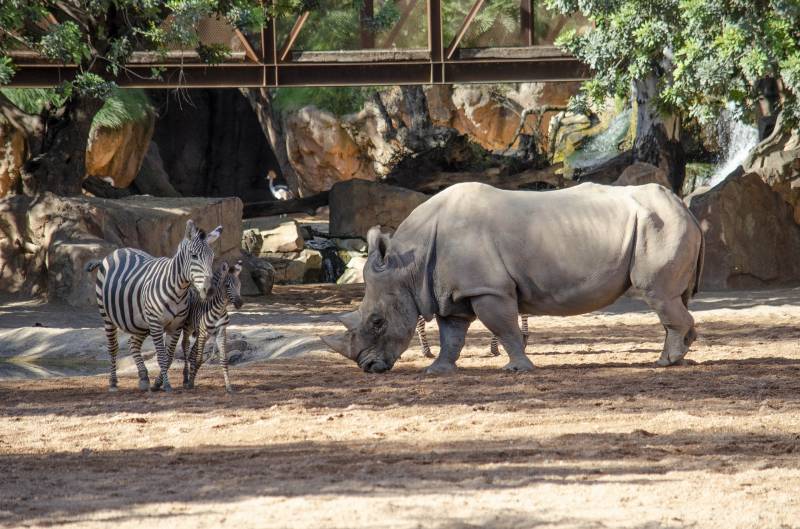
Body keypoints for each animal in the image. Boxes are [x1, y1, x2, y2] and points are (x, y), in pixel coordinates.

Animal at [86, 219, 222, 392]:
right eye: (194, 256)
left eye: (212, 257)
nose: (209, 290)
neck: (178, 291)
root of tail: (117, 251)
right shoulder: (156, 324)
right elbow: (162, 356)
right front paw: (166, 385)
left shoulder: (176, 326)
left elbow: (169, 356)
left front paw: (158, 383)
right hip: (108, 316)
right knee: (113, 346)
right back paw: (113, 382)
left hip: (141, 322)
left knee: (133, 343)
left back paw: (144, 378)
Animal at [182, 260, 242, 392]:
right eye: (227, 285)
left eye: (239, 284)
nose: (240, 303)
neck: (219, 310)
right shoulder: (203, 333)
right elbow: (199, 359)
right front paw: (191, 383)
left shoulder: (221, 332)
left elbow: (224, 360)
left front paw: (229, 387)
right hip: (189, 328)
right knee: (185, 345)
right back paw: (186, 378)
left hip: (203, 334)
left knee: (192, 352)